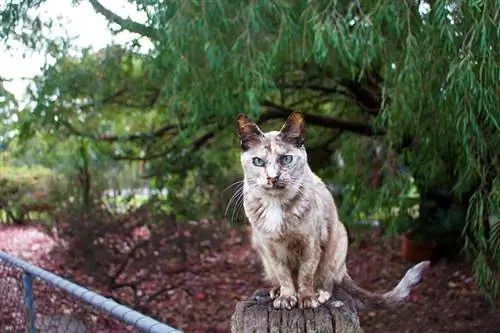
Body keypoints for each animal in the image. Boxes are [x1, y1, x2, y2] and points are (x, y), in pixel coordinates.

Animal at [235, 111, 430, 308]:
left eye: (286, 159)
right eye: (258, 161)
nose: (273, 177)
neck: (276, 205)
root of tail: (344, 269)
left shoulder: (311, 244)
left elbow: (306, 275)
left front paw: (307, 299)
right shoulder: (270, 248)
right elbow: (284, 275)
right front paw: (286, 297)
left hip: (339, 240)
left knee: (328, 280)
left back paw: (320, 294)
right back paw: (276, 291)